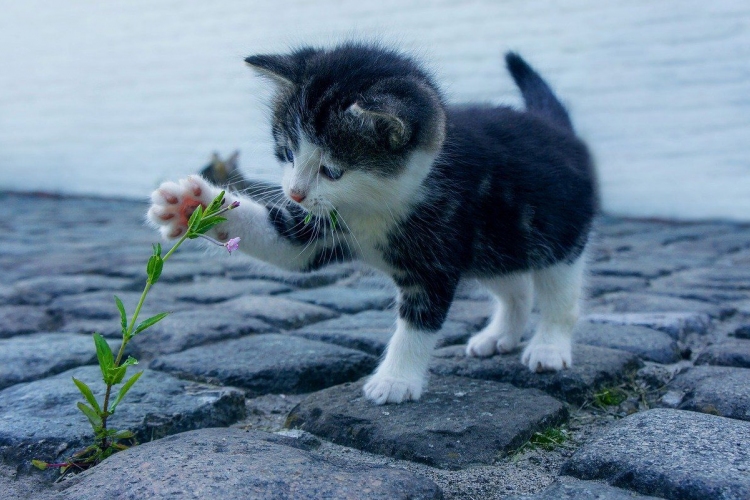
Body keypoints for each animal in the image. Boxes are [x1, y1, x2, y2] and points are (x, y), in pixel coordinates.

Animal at [150, 41, 600, 404]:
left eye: (332, 170)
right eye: (288, 153)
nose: (294, 193)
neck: (374, 205)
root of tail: (557, 129)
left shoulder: (437, 253)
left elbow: (418, 323)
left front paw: (395, 380)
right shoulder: (321, 227)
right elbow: (285, 244)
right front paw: (192, 205)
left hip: (557, 234)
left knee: (559, 293)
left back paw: (548, 347)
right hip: (494, 244)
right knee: (515, 286)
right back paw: (500, 335)